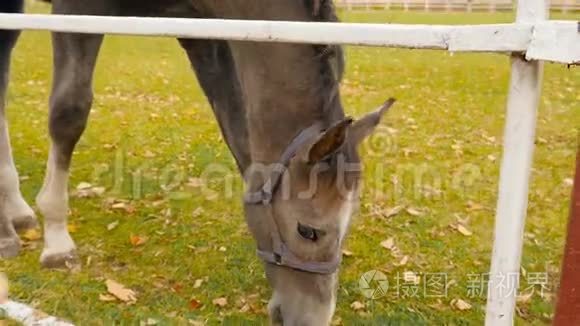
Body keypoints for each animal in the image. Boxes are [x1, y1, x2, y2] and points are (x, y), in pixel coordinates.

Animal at [0, 0, 394, 324]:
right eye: (308, 231)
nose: (312, 318)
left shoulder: (203, 33)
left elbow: (236, 125)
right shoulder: (77, 11)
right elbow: (69, 113)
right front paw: (57, 240)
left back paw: (16, 211)